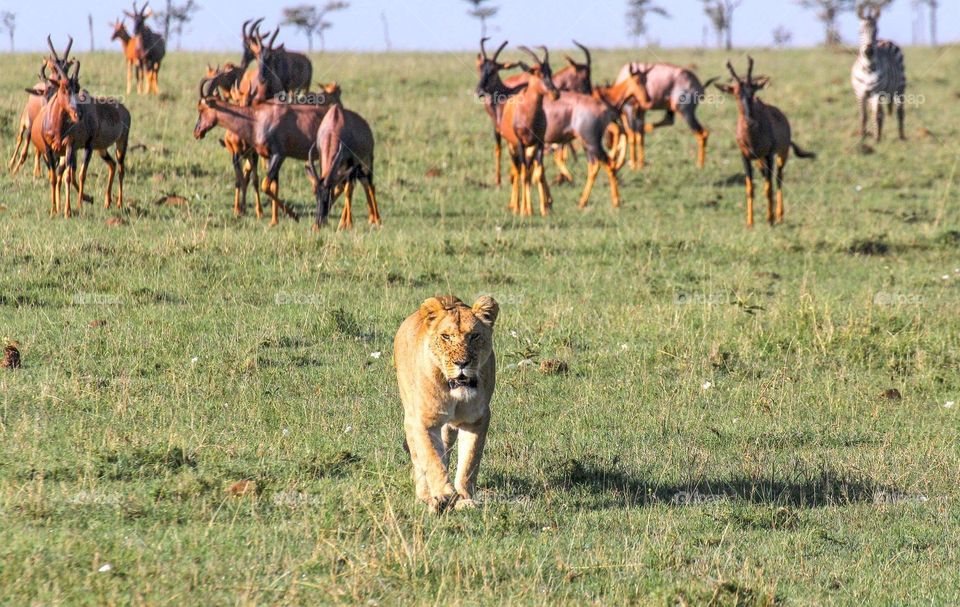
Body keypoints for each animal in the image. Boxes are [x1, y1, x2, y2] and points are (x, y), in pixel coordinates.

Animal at [394, 295, 499, 513]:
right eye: (446, 337)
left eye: (474, 336)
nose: (462, 363)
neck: (455, 394)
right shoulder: (424, 421)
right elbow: (432, 459)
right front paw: (443, 494)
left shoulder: (476, 420)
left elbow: (469, 462)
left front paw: (465, 499)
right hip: (410, 416)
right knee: (419, 459)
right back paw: (425, 496)